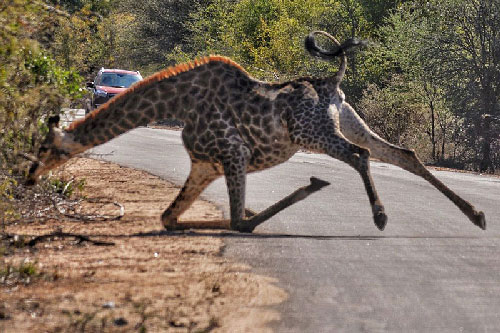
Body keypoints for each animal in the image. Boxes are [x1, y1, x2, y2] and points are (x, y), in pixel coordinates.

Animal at [25, 31, 486, 231]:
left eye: (45, 150)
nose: (28, 178)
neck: (177, 103)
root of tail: (333, 81)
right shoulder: (205, 165)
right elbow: (172, 218)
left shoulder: (233, 154)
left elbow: (236, 223)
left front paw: (311, 186)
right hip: (350, 121)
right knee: (401, 154)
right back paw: (477, 215)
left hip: (315, 134)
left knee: (361, 156)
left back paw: (380, 215)